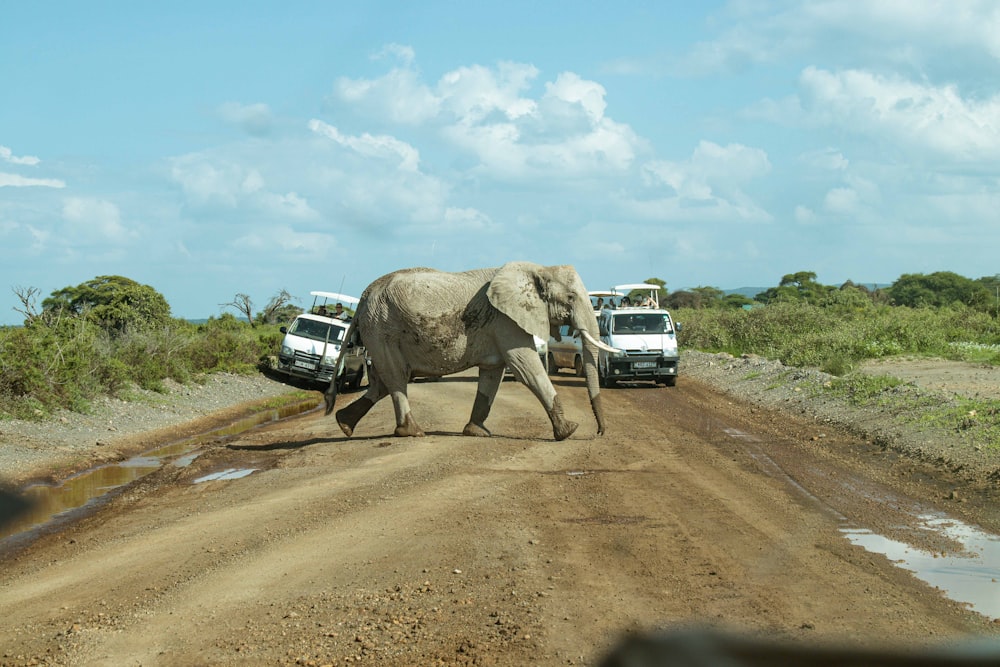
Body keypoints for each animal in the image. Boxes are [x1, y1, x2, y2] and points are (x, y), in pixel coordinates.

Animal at [324, 262, 612, 444]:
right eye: (571, 297)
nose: (599, 433)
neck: (538, 269)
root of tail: (365, 295)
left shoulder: (499, 326)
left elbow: (492, 375)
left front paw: (477, 432)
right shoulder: (506, 321)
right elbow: (525, 367)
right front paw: (569, 431)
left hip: (379, 330)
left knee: (385, 381)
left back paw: (344, 424)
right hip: (382, 328)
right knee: (396, 377)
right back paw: (413, 433)